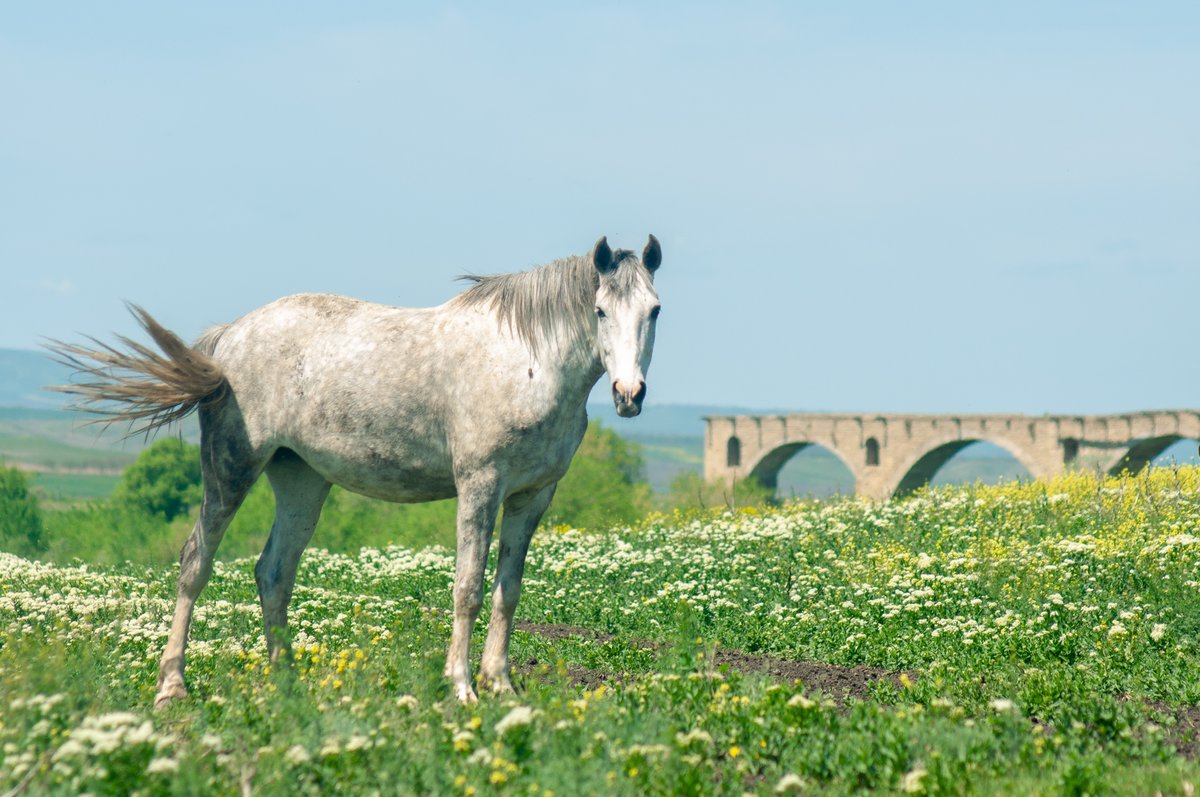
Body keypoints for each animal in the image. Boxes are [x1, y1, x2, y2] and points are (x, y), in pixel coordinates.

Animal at [46, 235, 662, 705]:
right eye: (600, 310)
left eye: (654, 310)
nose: (629, 395)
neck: (526, 363)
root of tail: (228, 338)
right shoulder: (480, 488)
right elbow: (467, 587)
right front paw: (462, 687)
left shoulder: (533, 498)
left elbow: (507, 591)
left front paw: (502, 685)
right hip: (231, 470)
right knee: (196, 563)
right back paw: (172, 687)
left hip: (301, 481)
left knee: (273, 573)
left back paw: (287, 682)